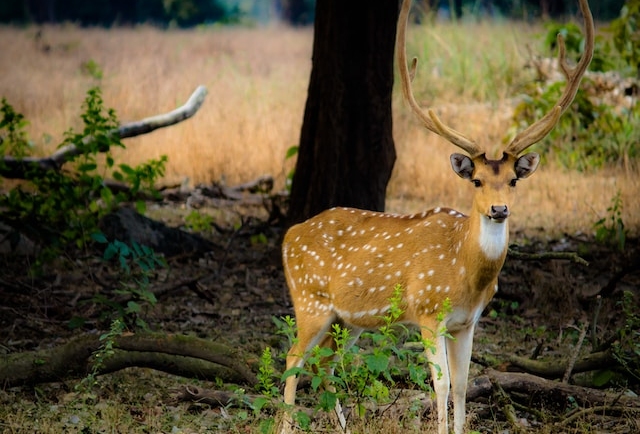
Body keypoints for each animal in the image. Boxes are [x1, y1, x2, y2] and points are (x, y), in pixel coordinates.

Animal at [282, 0, 596, 434]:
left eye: (514, 180)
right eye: (477, 180)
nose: (499, 209)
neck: (465, 273)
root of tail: (289, 234)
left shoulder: (468, 322)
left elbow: (463, 385)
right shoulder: (429, 312)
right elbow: (441, 385)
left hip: (346, 320)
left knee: (326, 365)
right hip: (309, 300)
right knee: (293, 360)